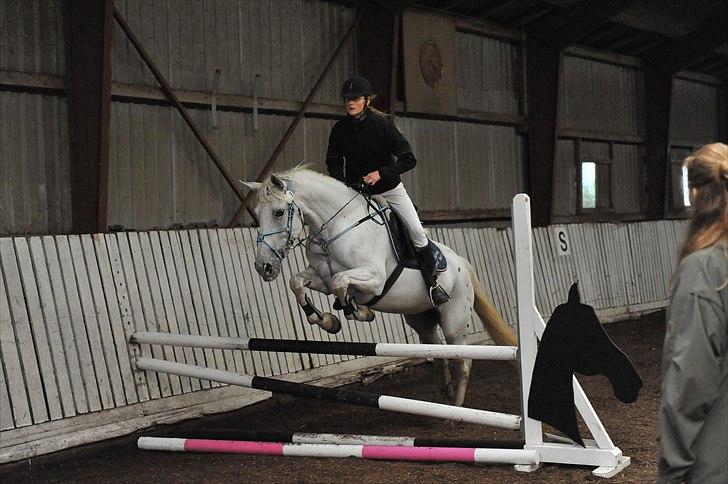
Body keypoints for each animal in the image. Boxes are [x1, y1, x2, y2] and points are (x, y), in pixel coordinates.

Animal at [245, 166, 516, 404]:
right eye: (257, 214)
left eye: (279, 212)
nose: (263, 267)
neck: (336, 227)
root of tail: (462, 263)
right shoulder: (320, 277)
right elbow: (298, 282)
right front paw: (327, 321)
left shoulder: (374, 279)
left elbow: (341, 282)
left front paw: (359, 311)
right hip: (421, 319)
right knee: (438, 351)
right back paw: (447, 392)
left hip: (454, 321)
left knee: (463, 358)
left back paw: (456, 406)